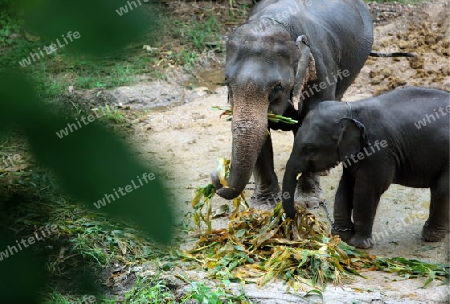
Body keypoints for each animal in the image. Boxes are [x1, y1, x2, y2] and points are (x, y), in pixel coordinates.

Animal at [211, 0, 372, 207]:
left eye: (278, 86)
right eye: (226, 82)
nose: (217, 177)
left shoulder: (321, 72)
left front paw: (308, 201)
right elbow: (262, 134)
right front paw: (264, 204)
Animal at [284, 86, 448, 248]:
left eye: (309, 149)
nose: (296, 214)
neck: (349, 110)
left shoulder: (379, 150)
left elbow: (367, 190)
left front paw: (359, 244)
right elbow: (346, 186)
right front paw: (341, 236)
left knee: (441, 190)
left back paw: (431, 237)